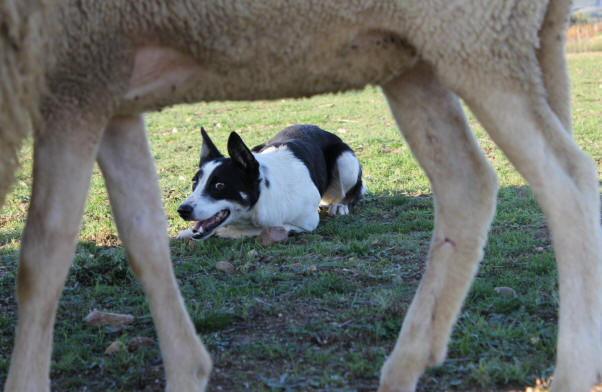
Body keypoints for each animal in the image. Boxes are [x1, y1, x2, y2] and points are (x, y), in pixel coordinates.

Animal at [176, 124, 364, 240]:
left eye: (220, 186)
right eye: (194, 183)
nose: (182, 210)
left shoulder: (306, 223)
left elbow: (268, 228)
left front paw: (228, 232)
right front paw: (187, 232)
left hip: (346, 160)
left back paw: (340, 205)